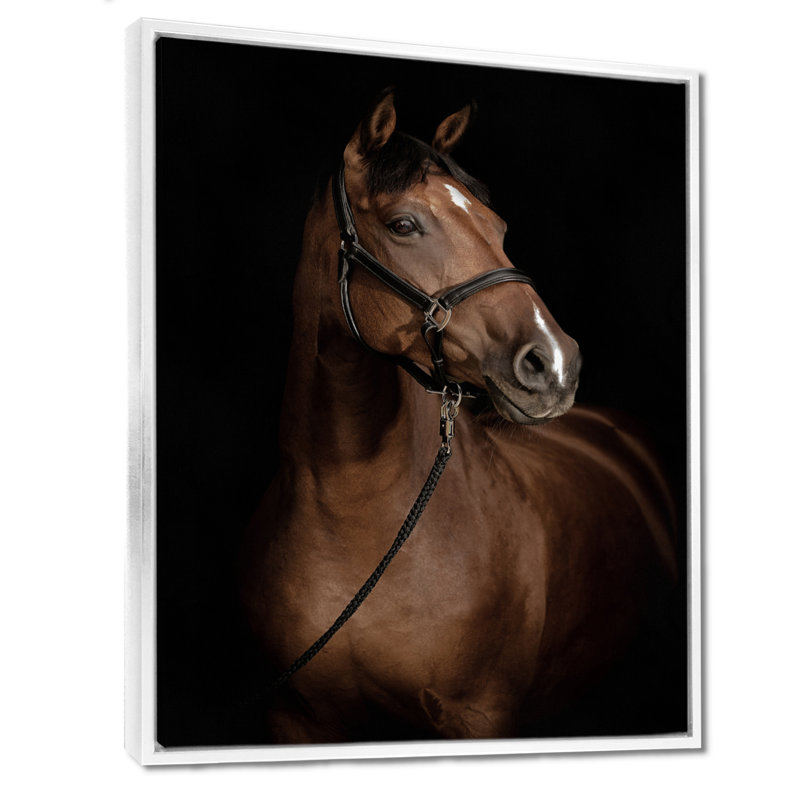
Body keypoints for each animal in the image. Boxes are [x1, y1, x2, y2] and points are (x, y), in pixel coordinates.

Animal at [241, 90, 679, 744]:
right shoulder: (294, 717)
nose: (555, 362)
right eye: (403, 224)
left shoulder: (477, 716)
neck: (351, 510)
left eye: (498, 227)